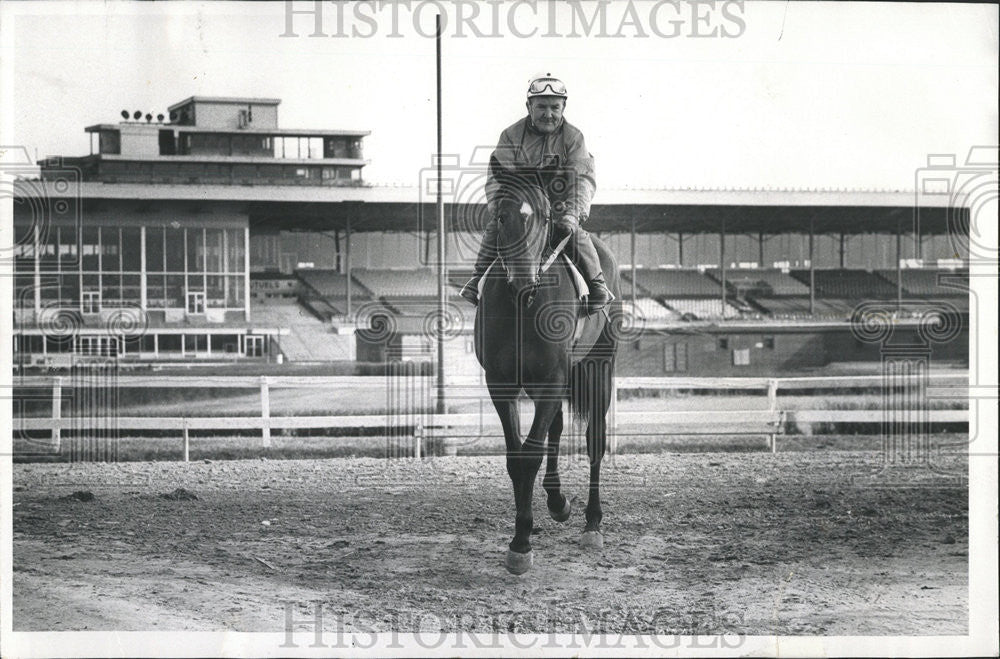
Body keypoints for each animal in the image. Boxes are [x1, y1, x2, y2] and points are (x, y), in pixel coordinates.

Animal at [474, 159, 620, 572]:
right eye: (501, 216)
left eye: (542, 216)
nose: (523, 281)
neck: (523, 307)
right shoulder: (502, 384)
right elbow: (517, 457)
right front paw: (523, 533)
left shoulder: (552, 380)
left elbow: (531, 454)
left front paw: (522, 541)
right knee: (555, 427)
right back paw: (557, 502)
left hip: (600, 368)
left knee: (594, 441)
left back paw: (592, 523)